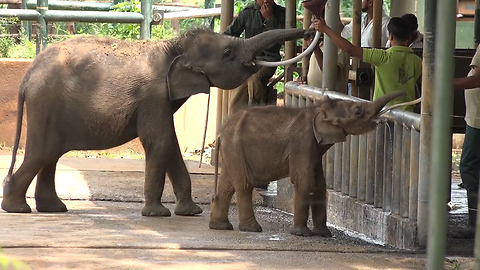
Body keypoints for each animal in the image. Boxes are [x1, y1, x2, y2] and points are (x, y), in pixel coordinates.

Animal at [0, 26, 304, 214]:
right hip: (45, 107)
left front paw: (190, 212)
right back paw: (17, 208)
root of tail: (28, 74)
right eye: (227, 53)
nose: (310, 29)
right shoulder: (152, 95)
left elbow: (171, 144)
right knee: (41, 154)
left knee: (50, 156)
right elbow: (159, 141)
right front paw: (158, 214)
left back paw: (53, 208)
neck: (174, 46)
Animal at [210, 90, 404, 236]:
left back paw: (221, 227)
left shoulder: (314, 148)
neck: (318, 110)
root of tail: (221, 133)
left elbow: (319, 183)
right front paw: (302, 234)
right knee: (244, 185)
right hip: (236, 148)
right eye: (358, 111)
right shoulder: (303, 143)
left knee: (227, 185)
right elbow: (305, 181)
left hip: (232, 152)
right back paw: (252, 229)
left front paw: (324, 234)